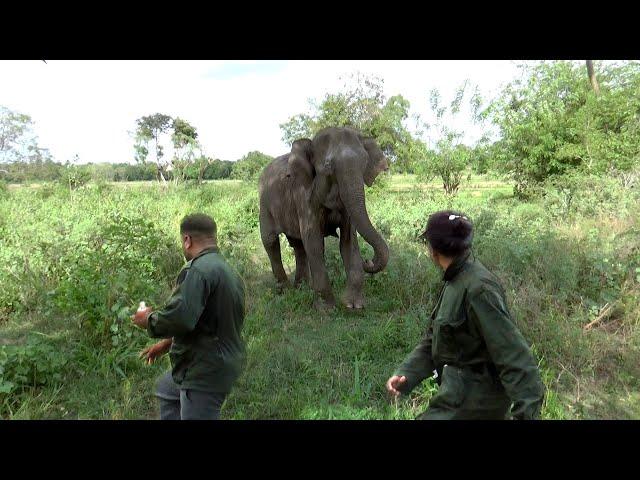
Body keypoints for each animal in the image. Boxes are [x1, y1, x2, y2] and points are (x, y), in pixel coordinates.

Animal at [256, 125, 388, 310]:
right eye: (328, 166)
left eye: (365, 163)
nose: (368, 261)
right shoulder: (303, 195)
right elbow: (314, 243)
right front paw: (327, 309)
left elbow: (348, 242)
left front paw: (353, 306)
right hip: (264, 203)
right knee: (270, 241)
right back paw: (286, 292)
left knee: (298, 245)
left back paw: (301, 288)